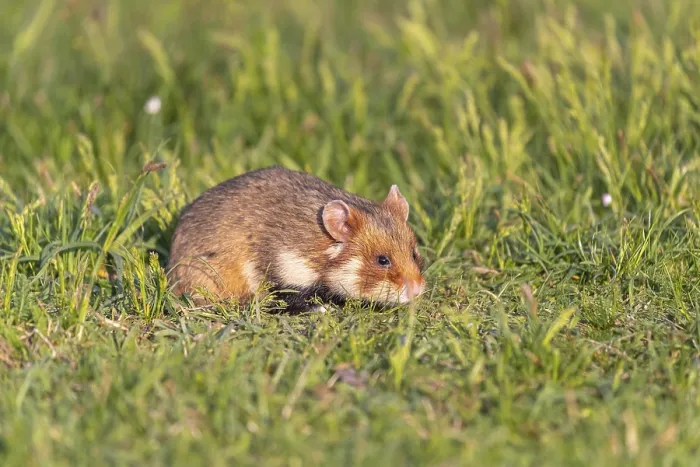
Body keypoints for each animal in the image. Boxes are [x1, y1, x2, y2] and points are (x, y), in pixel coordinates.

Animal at [166, 166, 426, 311]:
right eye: (382, 260)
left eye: (414, 254)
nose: (417, 291)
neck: (319, 251)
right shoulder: (285, 273)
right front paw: (324, 310)